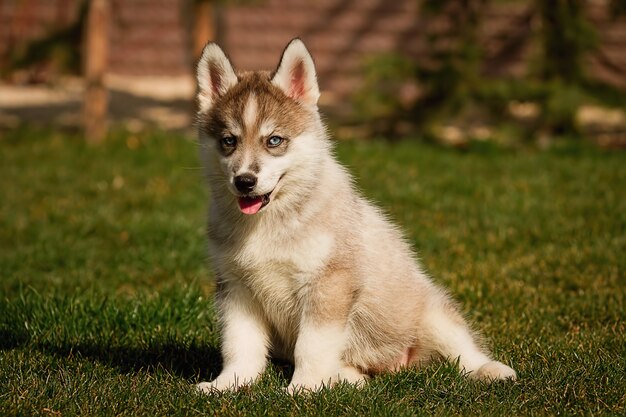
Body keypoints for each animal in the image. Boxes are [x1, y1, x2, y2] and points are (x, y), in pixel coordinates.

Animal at [194, 37, 512, 392]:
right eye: (229, 141)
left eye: (274, 140)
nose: (244, 181)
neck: (268, 223)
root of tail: (396, 366)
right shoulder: (236, 287)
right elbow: (240, 344)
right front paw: (230, 384)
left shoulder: (328, 283)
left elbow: (311, 345)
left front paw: (304, 388)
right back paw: (348, 378)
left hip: (433, 314)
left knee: (462, 351)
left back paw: (490, 370)